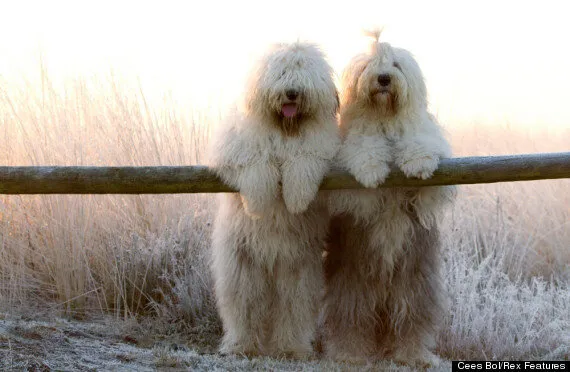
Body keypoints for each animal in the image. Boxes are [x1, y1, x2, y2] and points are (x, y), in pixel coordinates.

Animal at [207, 42, 338, 358]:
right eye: (280, 72)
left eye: (303, 73)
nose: (292, 92)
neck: (285, 131)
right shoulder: (235, 146)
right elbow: (255, 162)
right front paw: (258, 200)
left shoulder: (322, 148)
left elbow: (305, 159)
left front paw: (297, 198)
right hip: (241, 265)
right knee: (243, 306)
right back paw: (241, 345)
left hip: (298, 270)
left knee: (293, 308)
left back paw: (291, 347)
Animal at [322, 31, 454, 366]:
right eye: (369, 66)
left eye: (395, 64)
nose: (383, 79)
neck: (384, 119)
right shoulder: (353, 148)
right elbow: (363, 149)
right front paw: (371, 171)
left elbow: (419, 146)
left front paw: (418, 164)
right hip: (352, 282)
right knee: (352, 318)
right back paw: (350, 353)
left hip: (415, 281)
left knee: (411, 319)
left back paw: (413, 354)